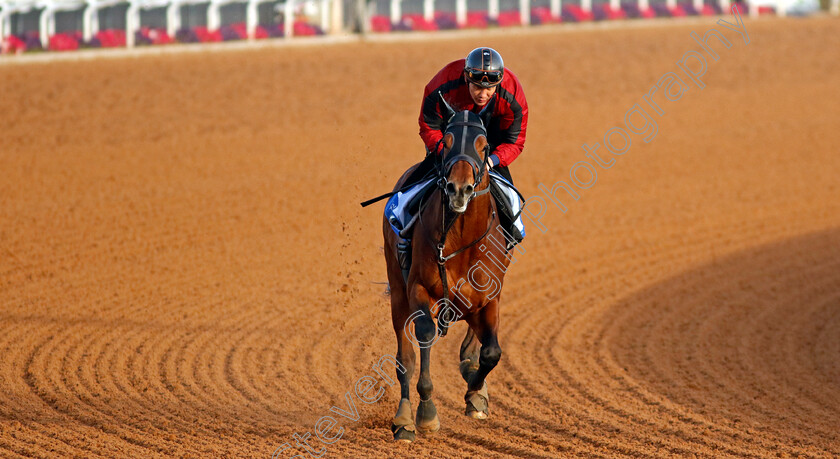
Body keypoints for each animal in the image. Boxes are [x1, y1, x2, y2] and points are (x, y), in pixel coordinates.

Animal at [384, 95, 516, 444]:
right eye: (446, 141)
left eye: (484, 146)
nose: (460, 189)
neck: (461, 241)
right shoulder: (419, 290)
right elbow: (425, 337)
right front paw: (427, 413)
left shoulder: (489, 297)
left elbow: (491, 352)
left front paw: (475, 392)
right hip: (398, 291)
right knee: (405, 359)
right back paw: (404, 419)